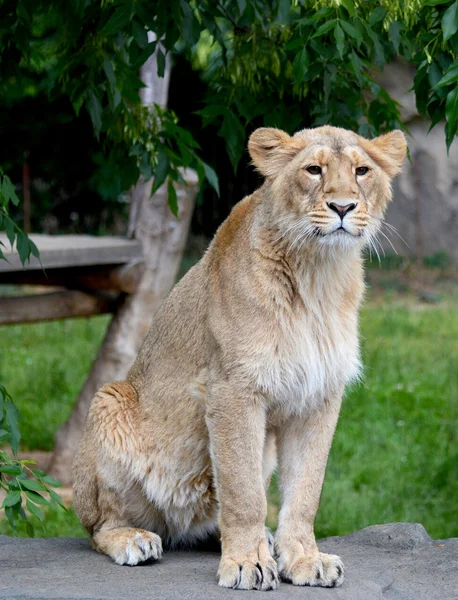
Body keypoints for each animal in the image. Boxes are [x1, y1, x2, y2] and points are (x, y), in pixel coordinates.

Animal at [73, 124, 406, 588]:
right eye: (314, 170)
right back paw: (134, 539)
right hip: (110, 400)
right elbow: (243, 491)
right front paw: (248, 563)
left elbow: (306, 490)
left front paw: (305, 558)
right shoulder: (234, 390)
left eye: (362, 171)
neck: (318, 275)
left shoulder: (320, 396)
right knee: (98, 526)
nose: (343, 206)